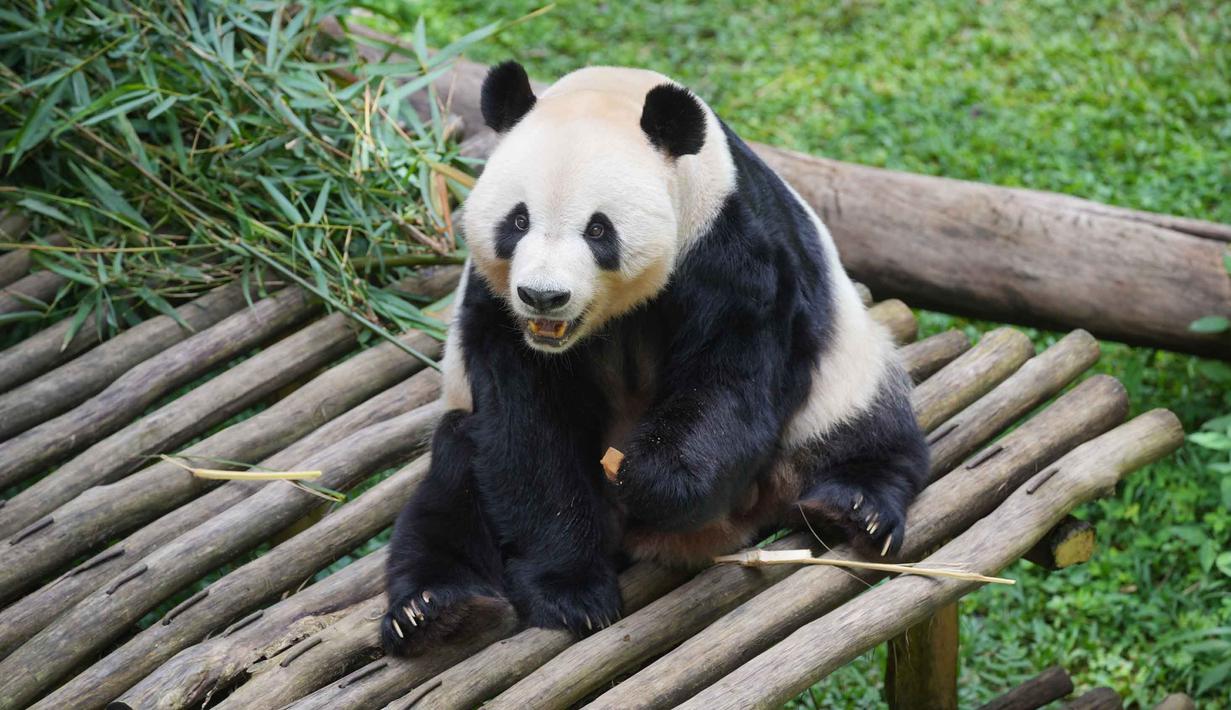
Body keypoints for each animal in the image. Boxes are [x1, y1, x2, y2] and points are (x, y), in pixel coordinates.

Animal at [381, 61, 928, 655]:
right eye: (518, 221)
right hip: (461, 436)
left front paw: (648, 475)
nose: (543, 296)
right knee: (451, 486)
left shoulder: (729, 246)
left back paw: (855, 508)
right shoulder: (497, 308)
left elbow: (729, 381)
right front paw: (571, 592)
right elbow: (528, 431)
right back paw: (434, 610)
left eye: (598, 229)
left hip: (840, 375)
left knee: (868, 429)